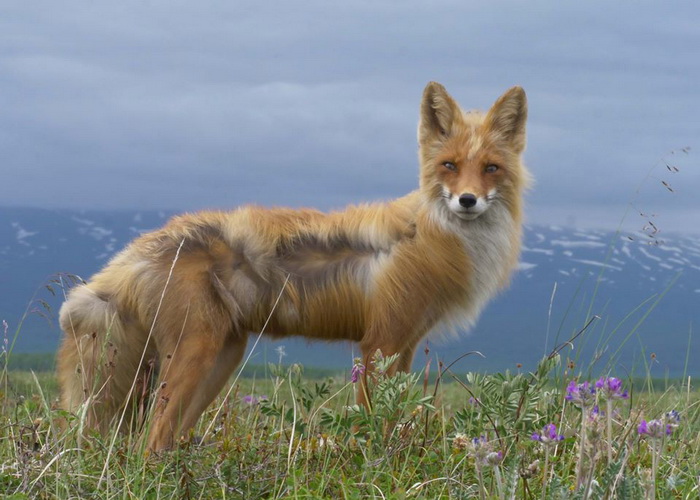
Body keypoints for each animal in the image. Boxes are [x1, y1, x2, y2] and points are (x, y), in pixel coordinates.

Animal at [57, 82, 530, 451]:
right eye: (449, 165)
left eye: (491, 168)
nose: (467, 200)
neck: (430, 236)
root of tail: (141, 246)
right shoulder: (380, 343)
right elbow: (374, 424)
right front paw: (374, 464)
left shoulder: (405, 345)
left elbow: (394, 417)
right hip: (195, 354)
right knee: (150, 440)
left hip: (221, 359)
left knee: (165, 439)